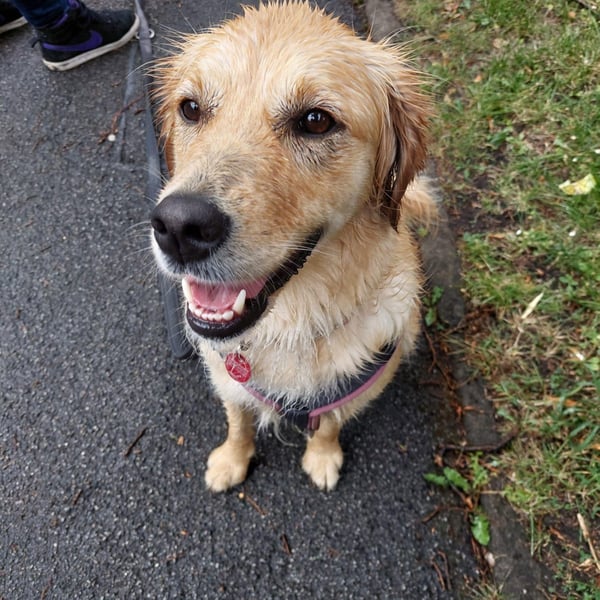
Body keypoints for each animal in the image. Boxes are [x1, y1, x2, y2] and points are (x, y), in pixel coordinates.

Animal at [150, 1, 436, 492]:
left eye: (315, 121)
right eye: (190, 109)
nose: (179, 226)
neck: (291, 323)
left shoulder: (355, 382)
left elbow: (330, 421)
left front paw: (322, 457)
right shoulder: (226, 375)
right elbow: (238, 418)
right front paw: (232, 459)